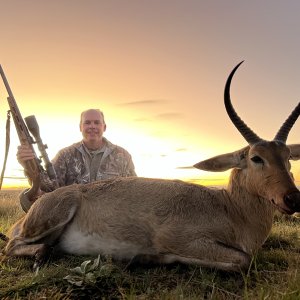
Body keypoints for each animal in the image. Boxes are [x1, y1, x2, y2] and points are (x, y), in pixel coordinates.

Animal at [3, 61, 300, 272]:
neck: (230, 209)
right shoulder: (180, 239)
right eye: (256, 157)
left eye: (287, 156)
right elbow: (243, 260)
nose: (292, 198)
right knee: (12, 246)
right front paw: (146, 258)